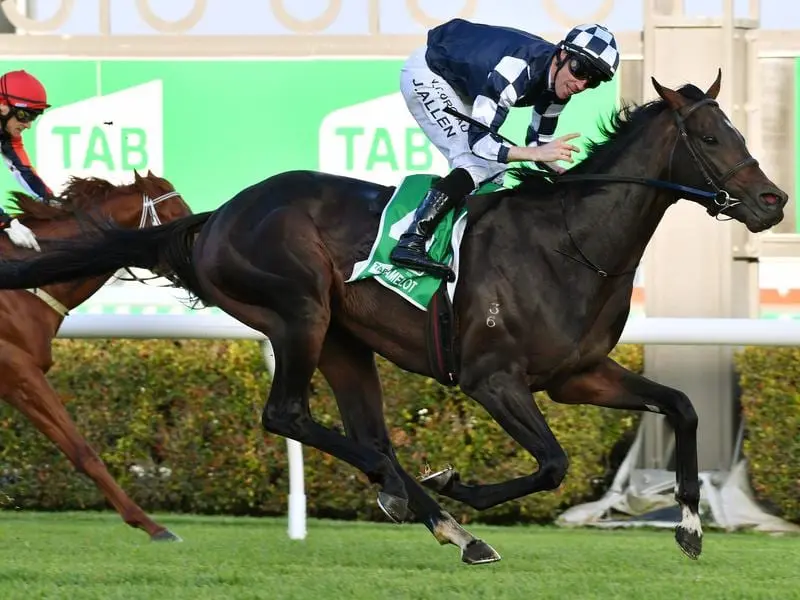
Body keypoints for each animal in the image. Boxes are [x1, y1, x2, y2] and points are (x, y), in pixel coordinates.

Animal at [0, 170, 192, 544]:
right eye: (177, 215)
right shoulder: (20, 369)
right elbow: (84, 449)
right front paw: (153, 526)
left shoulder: (16, 381)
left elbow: (76, 450)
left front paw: (151, 524)